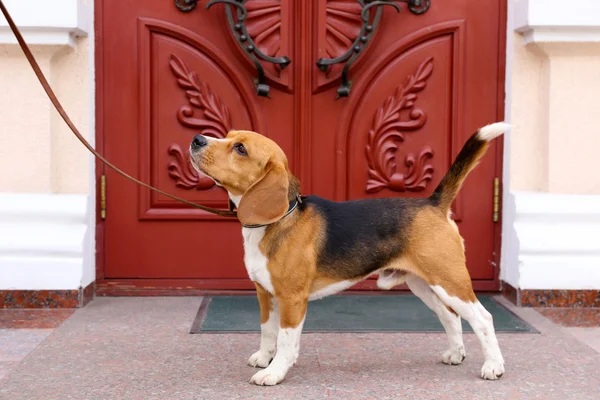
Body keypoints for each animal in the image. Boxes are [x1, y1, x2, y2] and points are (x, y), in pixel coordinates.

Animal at [190, 122, 508, 384]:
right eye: (228, 135)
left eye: (240, 148)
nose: (196, 139)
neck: (278, 220)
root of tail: (433, 203)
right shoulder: (264, 293)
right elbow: (268, 331)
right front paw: (264, 358)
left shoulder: (292, 299)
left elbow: (286, 340)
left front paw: (275, 372)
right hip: (424, 284)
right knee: (450, 316)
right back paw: (455, 354)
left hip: (449, 281)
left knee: (483, 318)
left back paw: (494, 366)